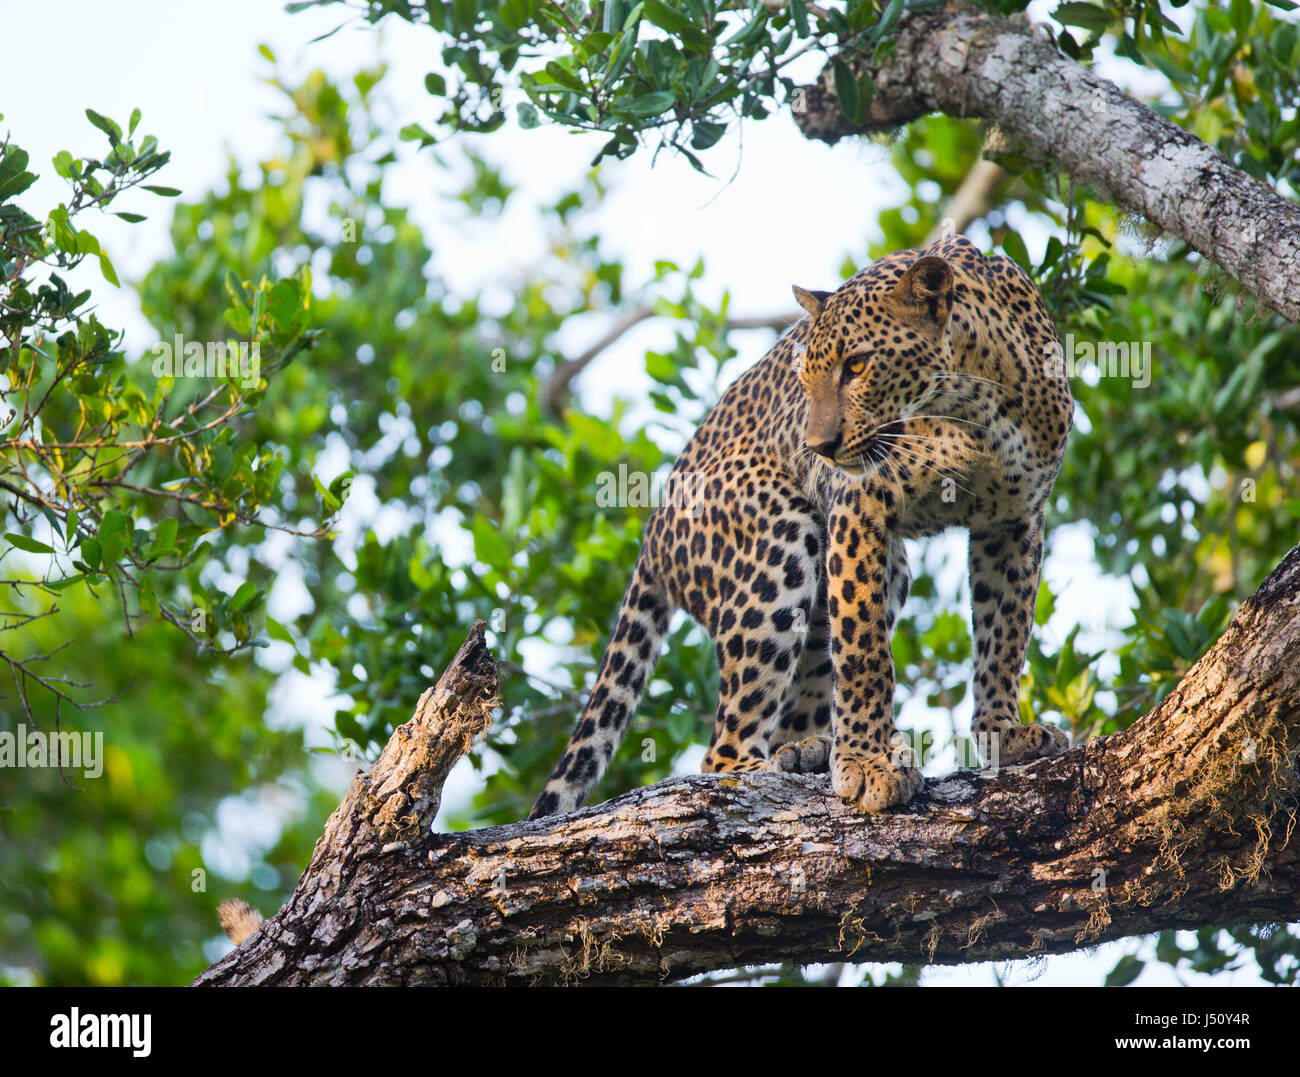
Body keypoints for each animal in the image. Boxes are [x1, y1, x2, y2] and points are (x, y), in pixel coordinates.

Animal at [528, 233, 1072, 820]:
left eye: (856, 365)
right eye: (804, 378)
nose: (819, 448)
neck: (979, 403)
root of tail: (653, 529)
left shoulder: (1014, 520)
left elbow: (1004, 636)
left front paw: (1004, 735)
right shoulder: (859, 503)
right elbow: (863, 653)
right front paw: (868, 765)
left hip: (884, 572)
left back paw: (806, 750)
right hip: (781, 543)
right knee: (720, 751)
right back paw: (767, 766)